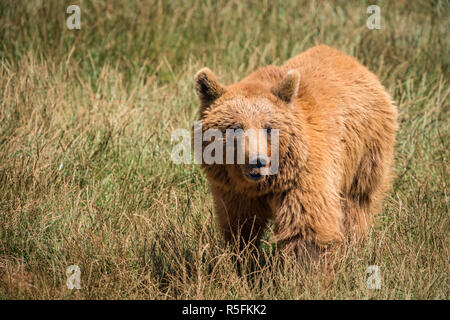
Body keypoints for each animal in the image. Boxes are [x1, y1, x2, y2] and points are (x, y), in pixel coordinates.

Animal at [193, 45, 398, 260]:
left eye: (268, 128)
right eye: (235, 128)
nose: (258, 161)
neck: (266, 184)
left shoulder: (301, 176)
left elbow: (306, 228)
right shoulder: (234, 190)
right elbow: (241, 227)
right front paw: (245, 259)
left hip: (365, 152)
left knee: (357, 202)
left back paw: (354, 244)